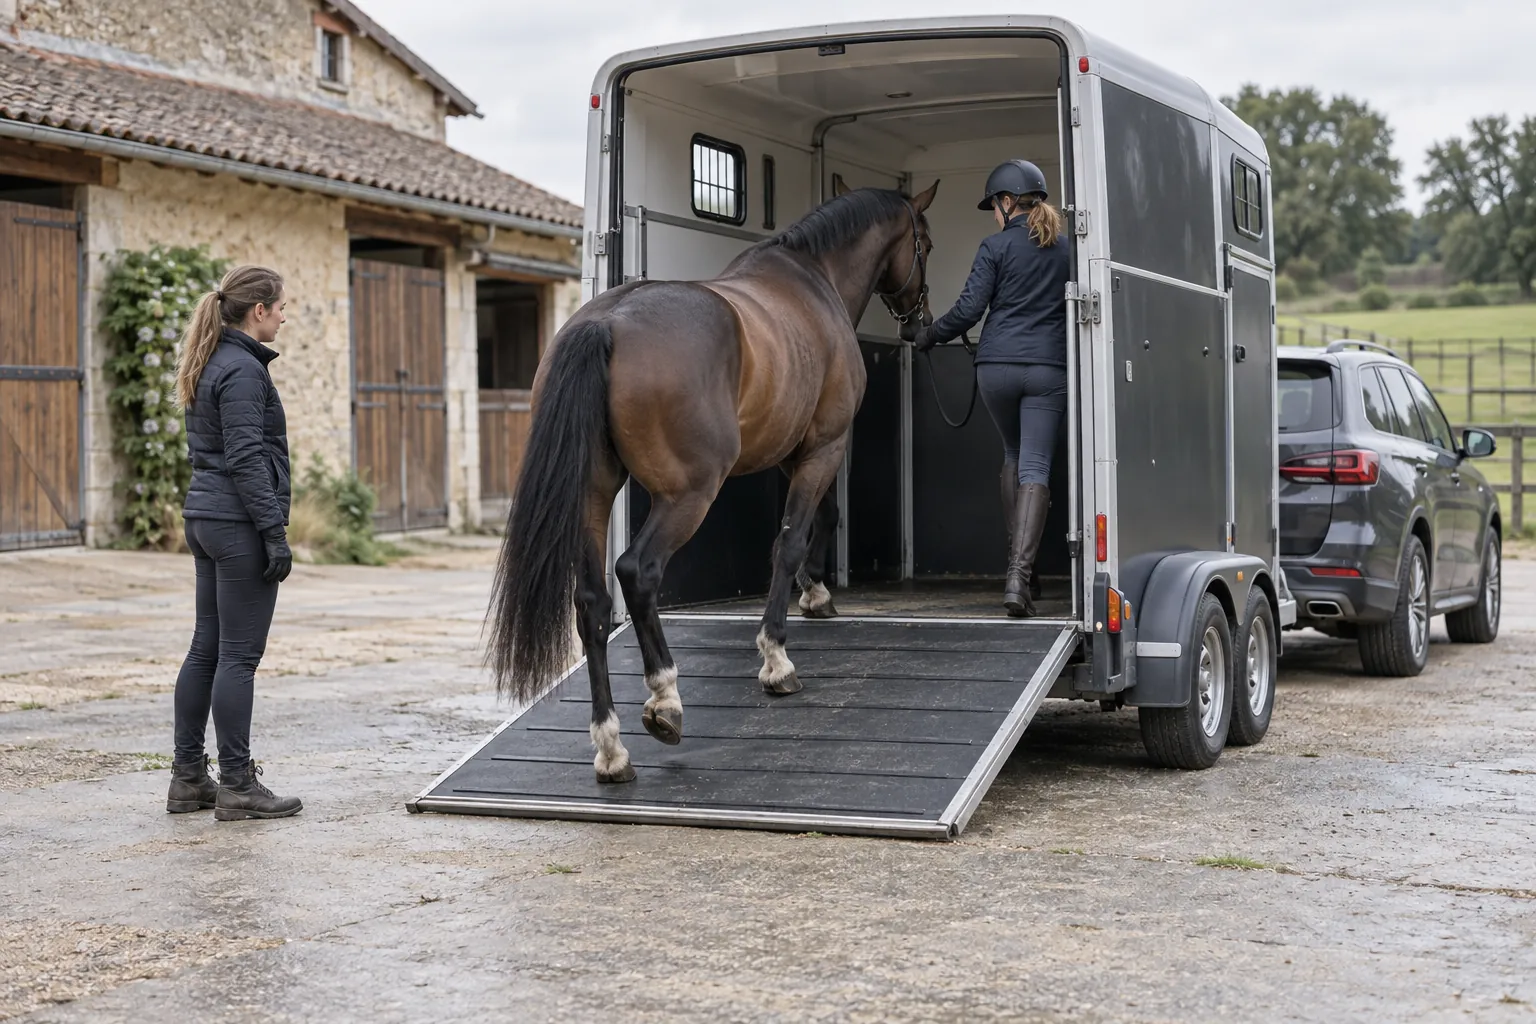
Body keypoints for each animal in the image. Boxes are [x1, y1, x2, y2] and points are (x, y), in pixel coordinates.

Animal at [487, 181, 939, 782]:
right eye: (925, 243)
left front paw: (817, 594)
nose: (919, 323)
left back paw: (611, 747)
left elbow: (821, 518)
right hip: (689, 494)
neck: (813, 281)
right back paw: (665, 701)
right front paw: (776, 659)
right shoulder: (825, 444)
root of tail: (606, 322)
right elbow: (791, 540)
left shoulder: (789, 450)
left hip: (594, 494)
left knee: (591, 602)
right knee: (637, 572)